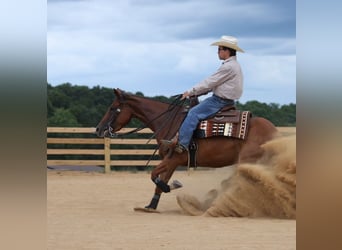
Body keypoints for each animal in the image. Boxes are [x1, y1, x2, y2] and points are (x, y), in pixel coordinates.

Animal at [95, 89, 278, 212]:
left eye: (112, 108)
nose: (98, 129)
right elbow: (158, 182)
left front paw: (172, 186)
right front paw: (151, 205)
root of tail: (274, 131)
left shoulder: (173, 159)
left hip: (248, 160)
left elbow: (154, 176)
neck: (171, 122)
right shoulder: (171, 162)